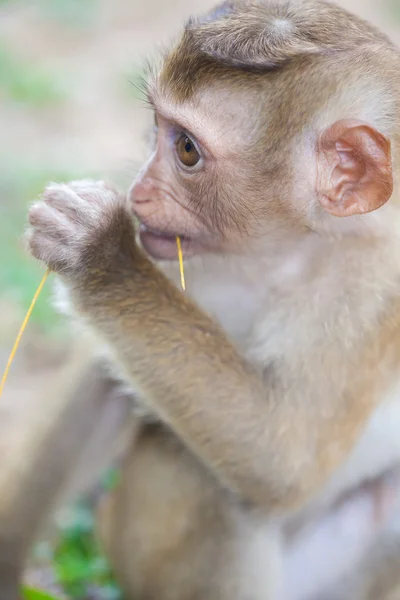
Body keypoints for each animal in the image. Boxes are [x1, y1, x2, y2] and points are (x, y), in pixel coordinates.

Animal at [6, 0, 400, 596]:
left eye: (187, 150)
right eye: (156, 127)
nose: (138, 192)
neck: (281, 249)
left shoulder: (369, 288)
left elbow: (283, 460)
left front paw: (100, 253)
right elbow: (100, 374)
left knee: (206, 469)